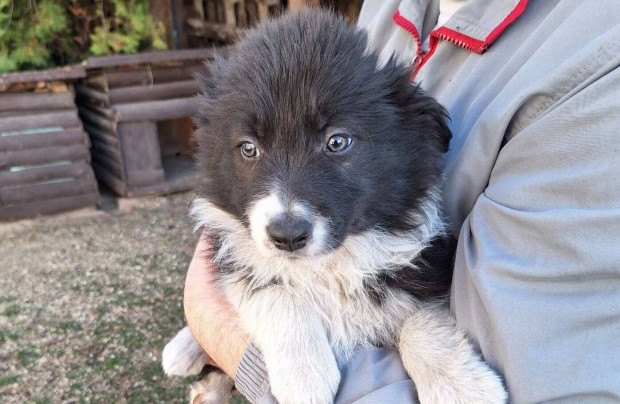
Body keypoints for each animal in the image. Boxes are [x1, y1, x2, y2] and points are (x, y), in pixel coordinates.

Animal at [162, 7, 506, 404]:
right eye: (249, 148)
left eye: (337, 142)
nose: (287, 236)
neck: (329, 265)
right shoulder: (232, 246)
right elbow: (270, 286)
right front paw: (303, 376)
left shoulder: (427, 268)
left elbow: (420, 320)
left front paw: (461, 386)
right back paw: (185, 351)